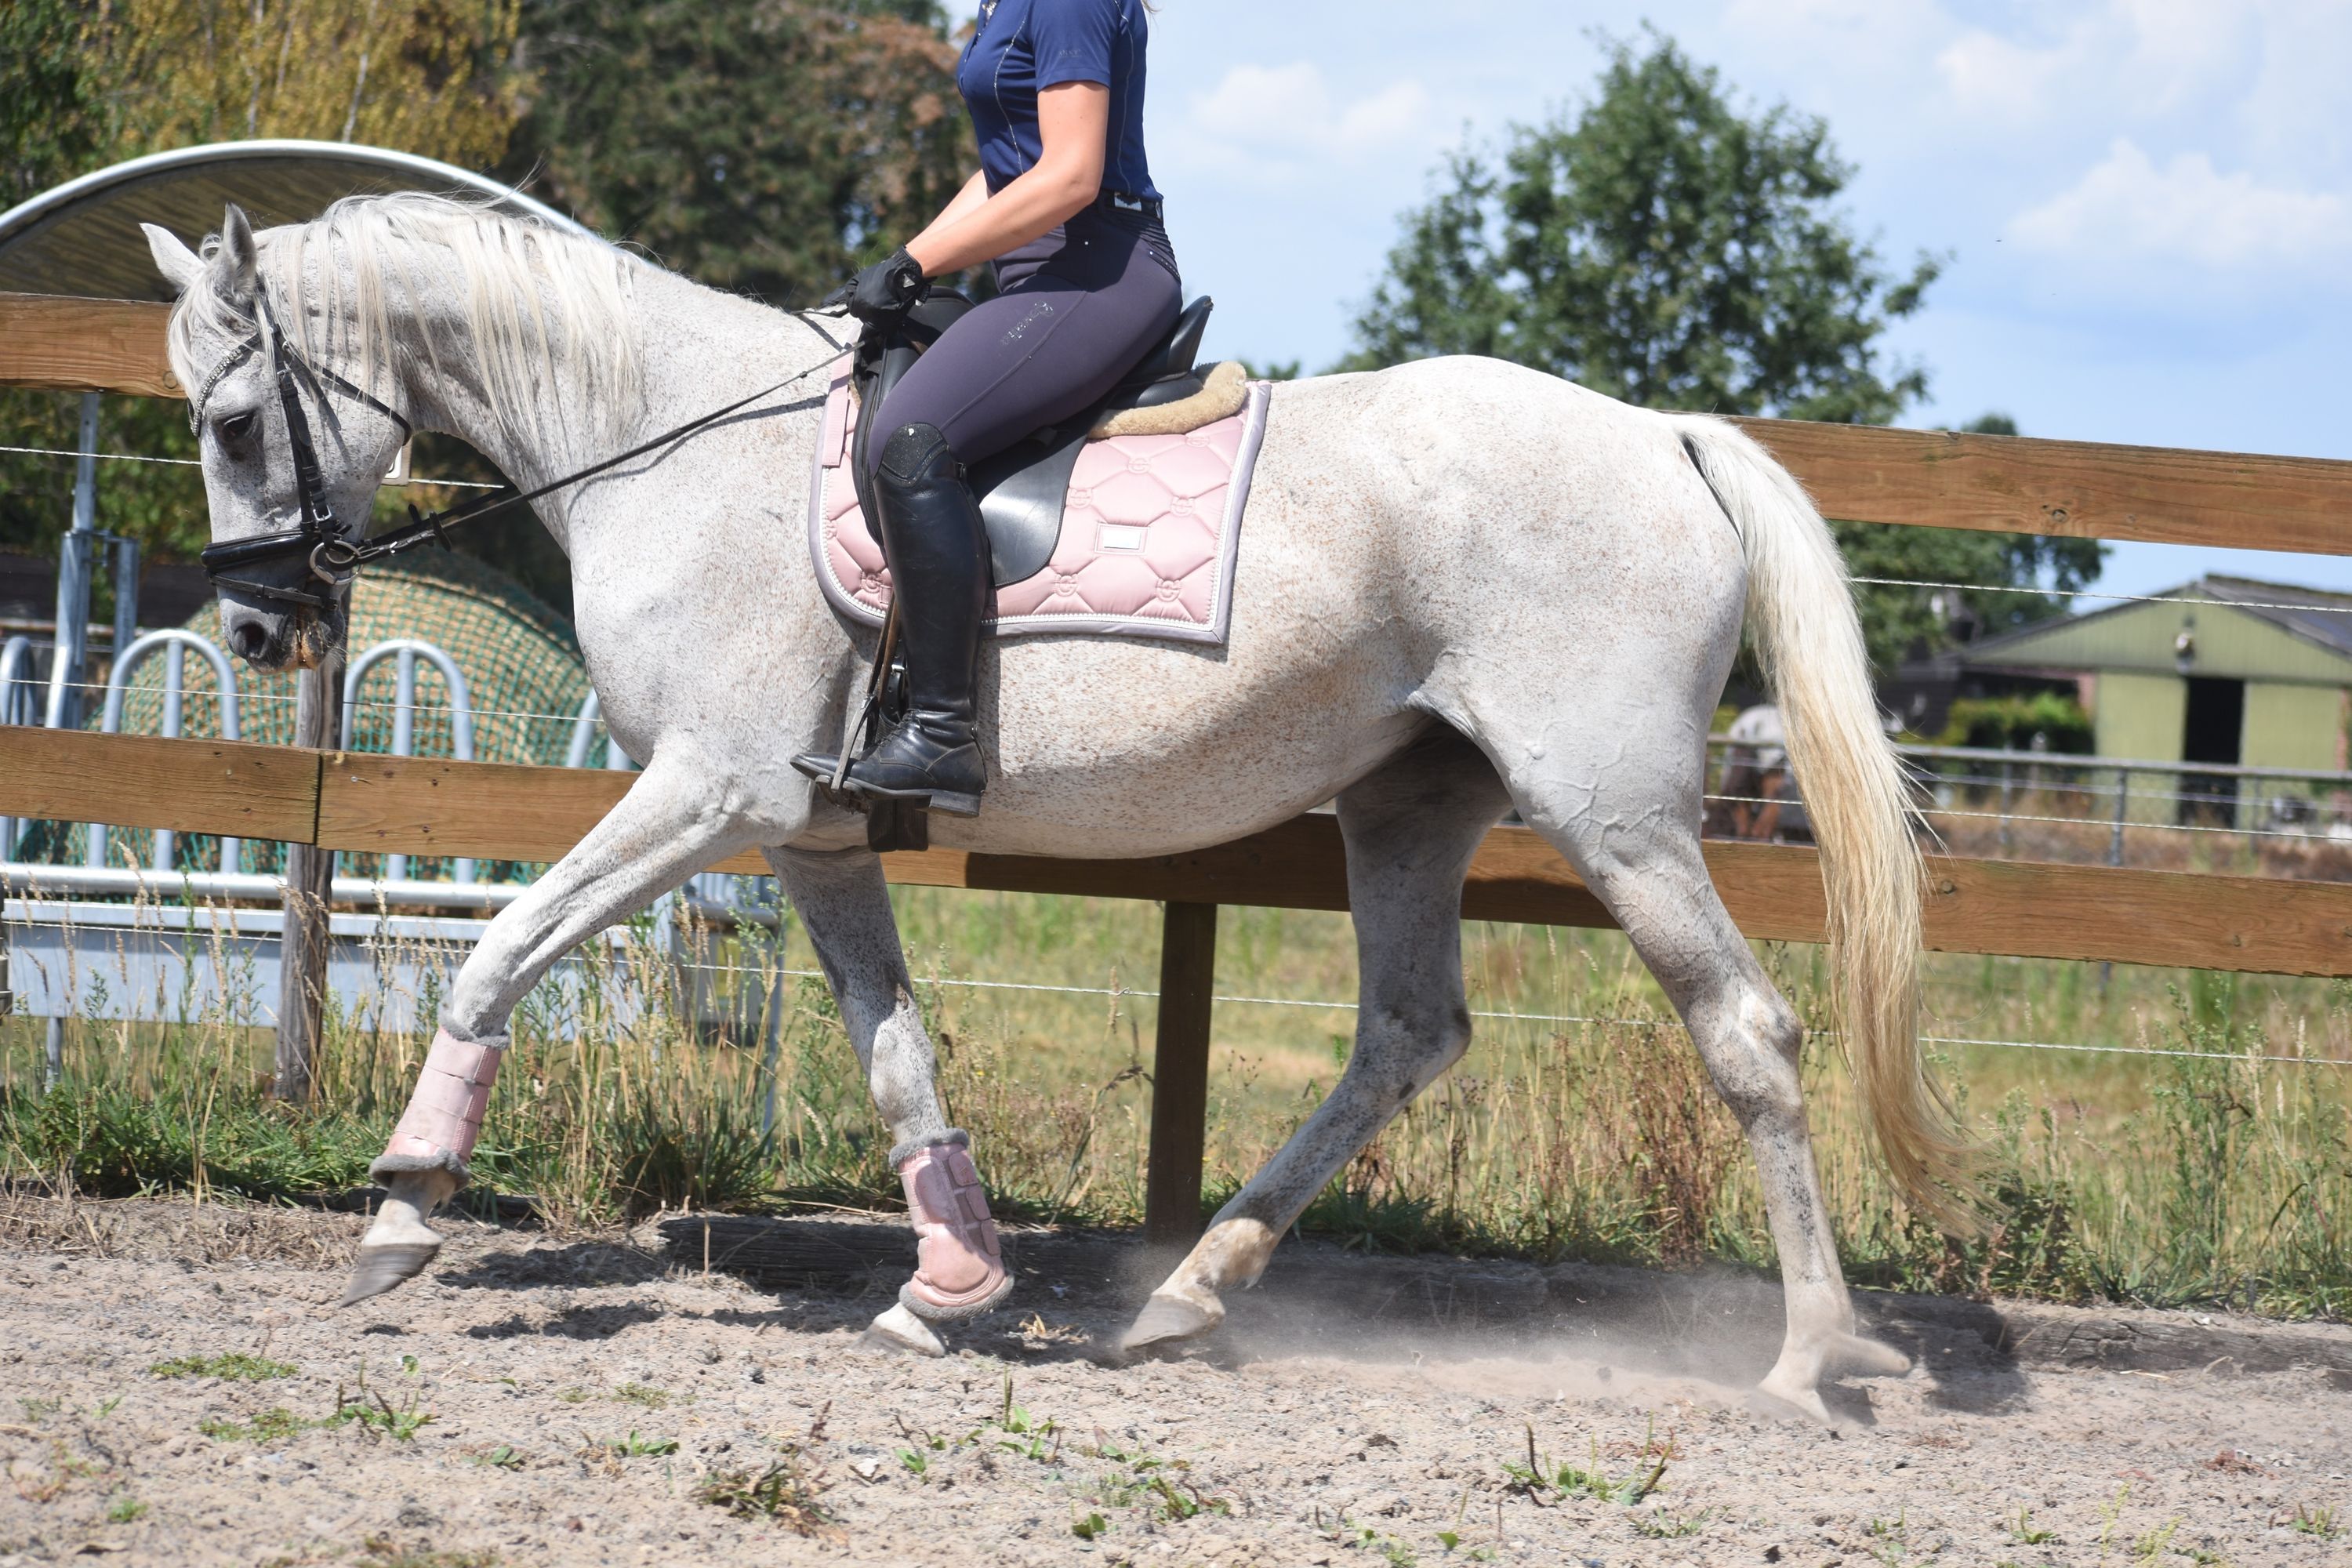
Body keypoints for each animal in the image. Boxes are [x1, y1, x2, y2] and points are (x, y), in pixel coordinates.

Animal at [143, 193, 1965, 1424]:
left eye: (233, 422)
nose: (259, 633)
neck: (663, 445)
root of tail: (1665, 438)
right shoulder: (808, 832)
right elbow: (894, 1052)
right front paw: (951, 1286)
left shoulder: (708, 789)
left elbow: (501, 948)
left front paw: (402, 1202)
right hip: (1411, 804)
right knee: (1408, 1033)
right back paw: (1187, 1296)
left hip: (1617, 814)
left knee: (1747, 1033)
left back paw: (1810, 1356)